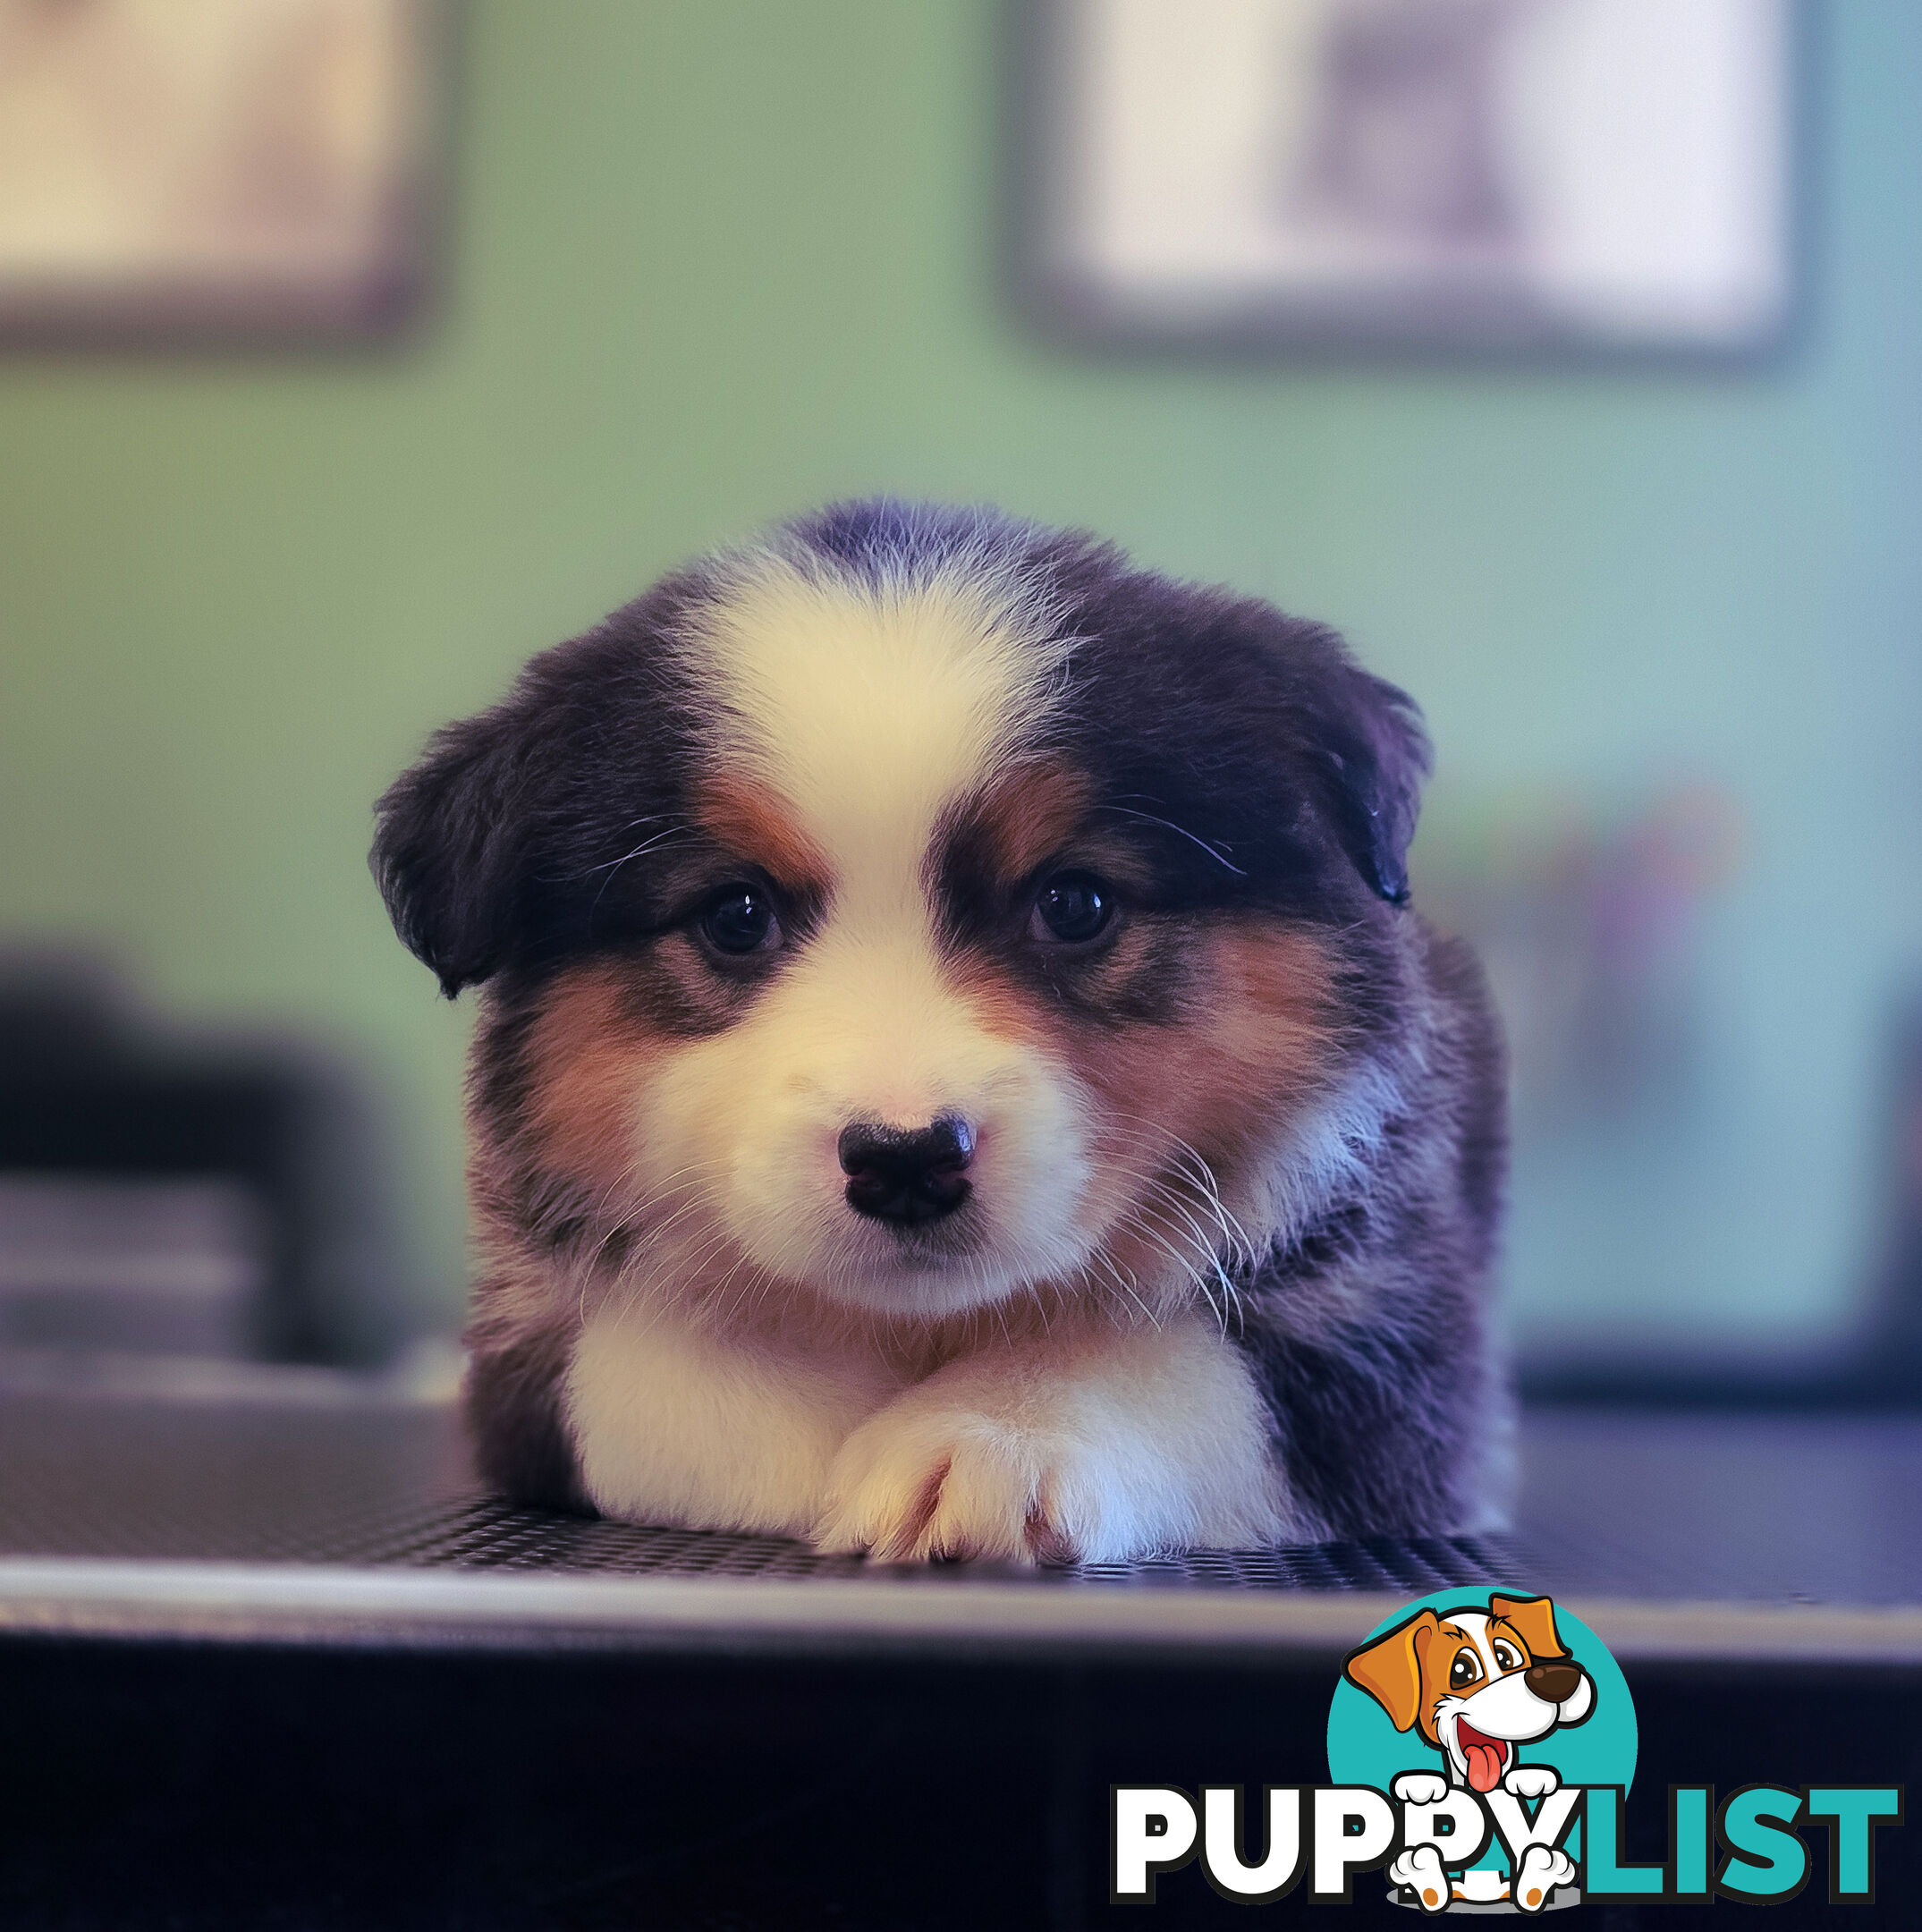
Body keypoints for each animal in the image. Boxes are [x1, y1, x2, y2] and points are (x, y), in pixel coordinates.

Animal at [377, 494, 1514, 1553]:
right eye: (735, 915)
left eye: (1075, 904)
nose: (905, 1160)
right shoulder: (528, 1367)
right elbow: (653, 1373)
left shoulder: (1396, 1343)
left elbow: (1191, 1361)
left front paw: (987, 1431)